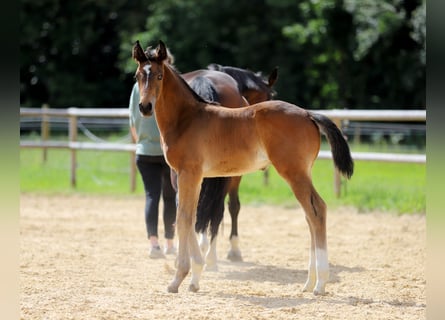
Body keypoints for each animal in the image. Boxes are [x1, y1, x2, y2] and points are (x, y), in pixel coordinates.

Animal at [131, 40, 350, 296]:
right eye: (138, 75)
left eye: (158, 75)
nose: (145, 107)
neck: (187, 119)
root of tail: (308, 114)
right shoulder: (192, 177)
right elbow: (191, 216)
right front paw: (195, 279)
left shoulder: (188, 174)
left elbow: (184, 218)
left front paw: (178, 279)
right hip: (302, 173)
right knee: (311, 214)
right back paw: (309, 282)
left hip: (294, 173)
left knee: (317, 212)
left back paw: (320, 284)